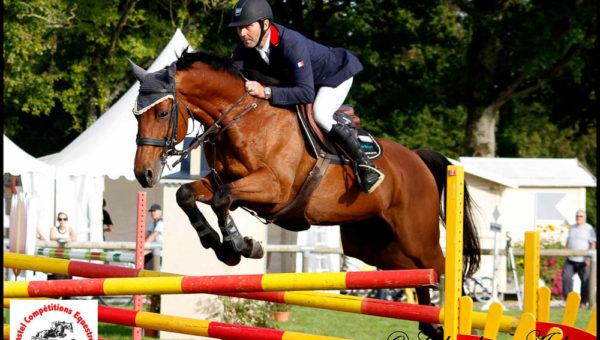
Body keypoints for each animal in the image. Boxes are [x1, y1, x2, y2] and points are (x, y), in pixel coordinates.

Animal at [129, 49, 480, 338]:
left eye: (162, 114)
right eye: (136, 115)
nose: (143, 174)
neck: (245, 119)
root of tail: (417, 159)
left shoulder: (274, 189)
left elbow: (222, 199)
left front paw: (240, 245)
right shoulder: (223, 180)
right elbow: (187, 195)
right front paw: (221, 245)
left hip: (415, 233)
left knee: (441, 266)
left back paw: (458, 321)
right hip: (371, 244)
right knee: (417, 272)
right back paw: (431, 323)